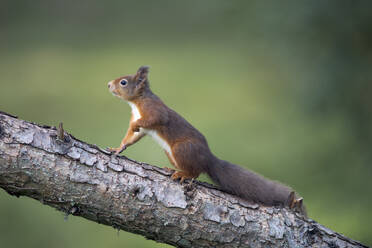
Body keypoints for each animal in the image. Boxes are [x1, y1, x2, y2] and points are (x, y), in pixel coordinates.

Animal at [107, 65, 306, 215]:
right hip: (171, 153)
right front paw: (117, 149)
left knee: (195, 172)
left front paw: (135, 126)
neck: (136, 102)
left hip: (182, 149)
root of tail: (209, 159)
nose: (108, 84)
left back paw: (183, 174)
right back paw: (173, 169)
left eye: (123, 82)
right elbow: (131, 138)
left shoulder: (154, 110)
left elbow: (156, 119)